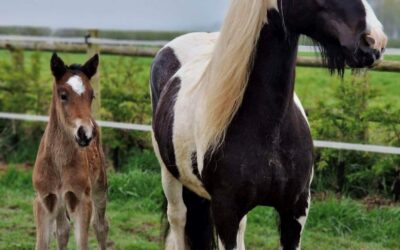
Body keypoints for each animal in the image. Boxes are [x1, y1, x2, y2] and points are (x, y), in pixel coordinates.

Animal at [33, 53, 108, 249]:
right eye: (63, 95)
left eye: (92, 95)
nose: (86, 133)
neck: (59, 163)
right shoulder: (44, 200)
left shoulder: (81, 199)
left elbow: (83, 242)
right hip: (59, 202)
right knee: (62, 231)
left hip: (100, 186)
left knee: (101, 227)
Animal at [149, 0, 384, 249]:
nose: (374, 41)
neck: (272, 130)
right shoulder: (225, 211)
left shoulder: (296, 209)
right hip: (170, 176)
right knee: (178, 219)